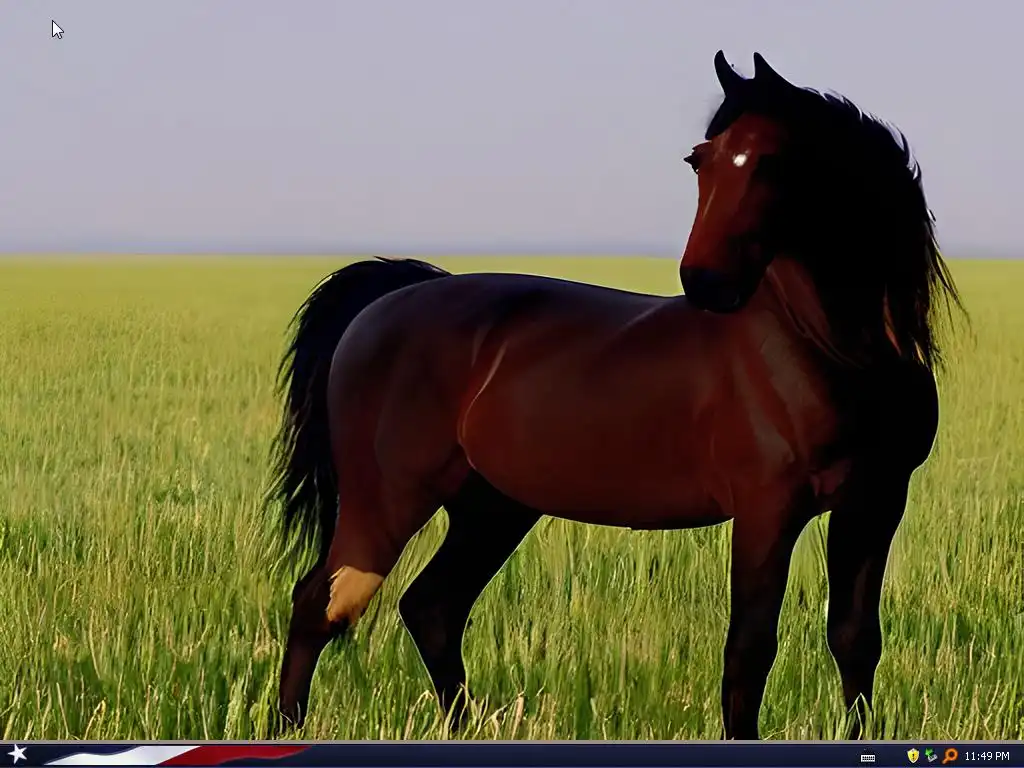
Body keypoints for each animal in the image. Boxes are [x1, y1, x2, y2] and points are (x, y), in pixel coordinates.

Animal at [267, 51, 963, 740]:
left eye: (773, 159)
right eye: (699, 159)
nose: (705, 284)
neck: (828, 348)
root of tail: (390, 300)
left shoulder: (875, 502)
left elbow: (854, 640)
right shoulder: (768, 511)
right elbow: (749, 652)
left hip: (492, 506)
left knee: (431, 606)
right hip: (387, 500)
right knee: (322, 603)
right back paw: (286, 729)